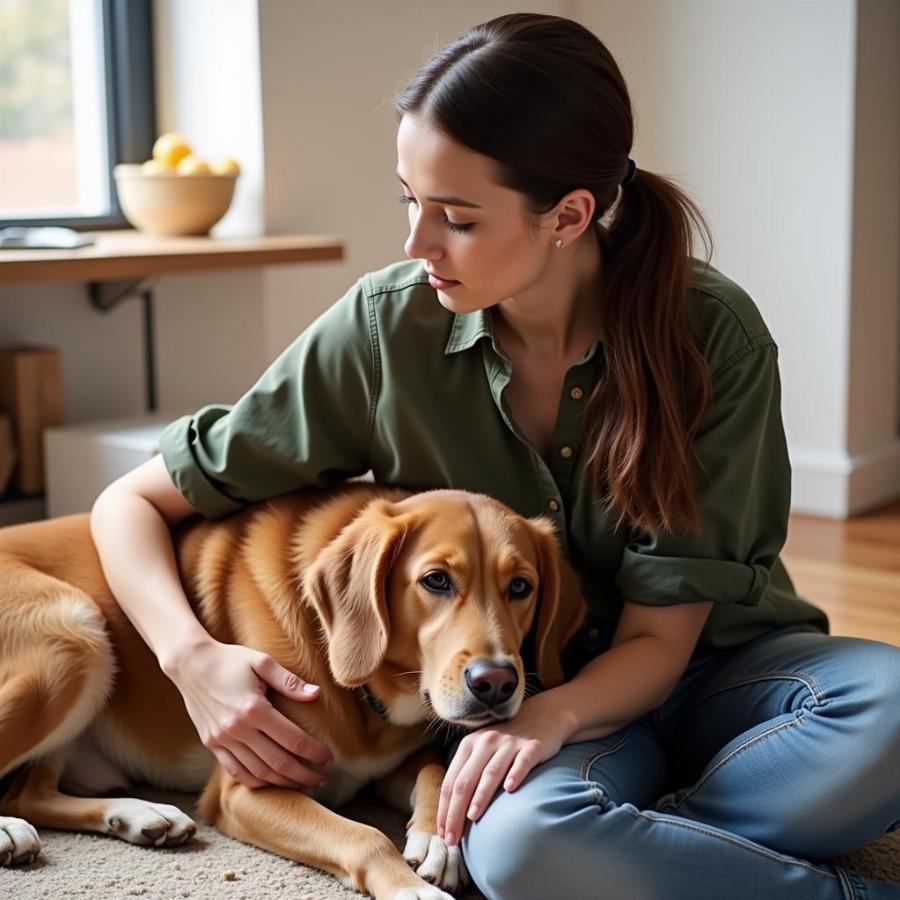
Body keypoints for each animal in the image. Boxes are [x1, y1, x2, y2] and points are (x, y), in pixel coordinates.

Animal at [0, 486, 584, 900]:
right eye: (435, 580)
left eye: (521, 587)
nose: (496, 682)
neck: (367, 697)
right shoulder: (243, 789)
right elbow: (364, 835)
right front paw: (412, 888)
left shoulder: (391, 763)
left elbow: (433, 771)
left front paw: (438, 842)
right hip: (76, 635)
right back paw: (14, 832)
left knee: (32, 792)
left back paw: (142, 816)